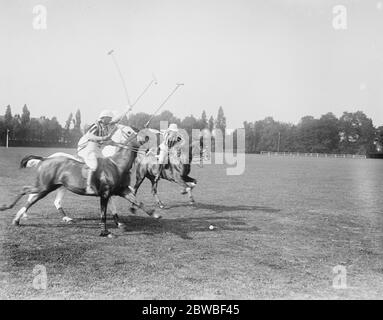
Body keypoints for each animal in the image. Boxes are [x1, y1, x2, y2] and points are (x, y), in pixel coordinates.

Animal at [0, 127, 159, 235]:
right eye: (129, 132)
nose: (153, 150)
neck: (117, 164)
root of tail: (46, 159)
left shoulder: (121, 190)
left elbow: (137, 201)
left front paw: (154, 214)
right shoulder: (105, 193)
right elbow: (103, 213)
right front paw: (105, 232)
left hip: (52, 187)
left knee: (38, 198)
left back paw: (19, 218)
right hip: (44, 186)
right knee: (25, 191)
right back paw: (11, 211)